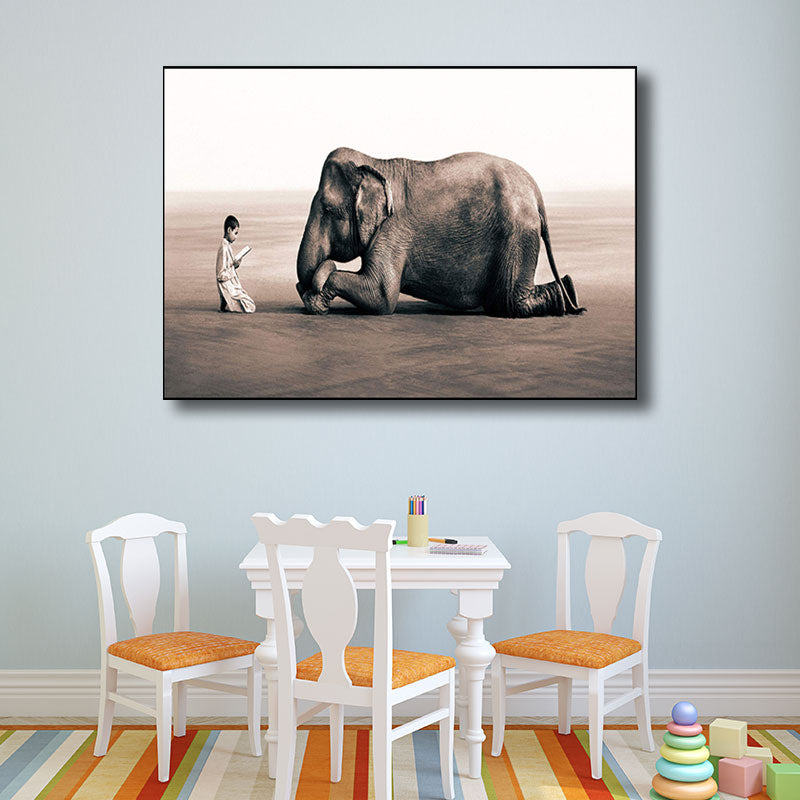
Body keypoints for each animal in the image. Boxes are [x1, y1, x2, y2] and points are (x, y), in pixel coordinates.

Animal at [296, 147, 584, 318]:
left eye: (328, 210)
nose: (305, 285)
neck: (375, 163)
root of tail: (536, 192)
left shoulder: (394, 229)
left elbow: (381, 296)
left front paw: (316, 297)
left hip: (518, 231)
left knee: (509, 302)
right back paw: (569, 290)